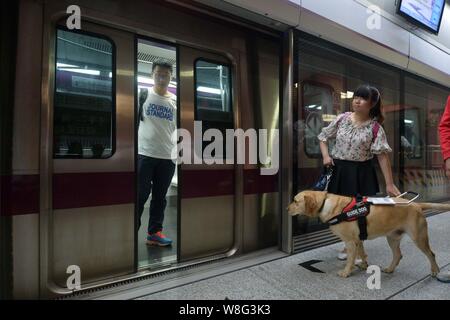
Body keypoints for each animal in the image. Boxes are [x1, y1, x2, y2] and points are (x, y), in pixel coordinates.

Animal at [286, 192, 448, 278]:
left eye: (295, 201)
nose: (286, 209)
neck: (326, 203)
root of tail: (415, 204)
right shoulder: (358, 240)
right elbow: (362, 253)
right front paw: (364, 265)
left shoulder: (350, 241)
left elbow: (351, 259)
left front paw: (346, 272)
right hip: (392, 238)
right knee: (398, 255)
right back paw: (390, 269)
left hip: (419, 237)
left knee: (431, 254)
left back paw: (435, 270)